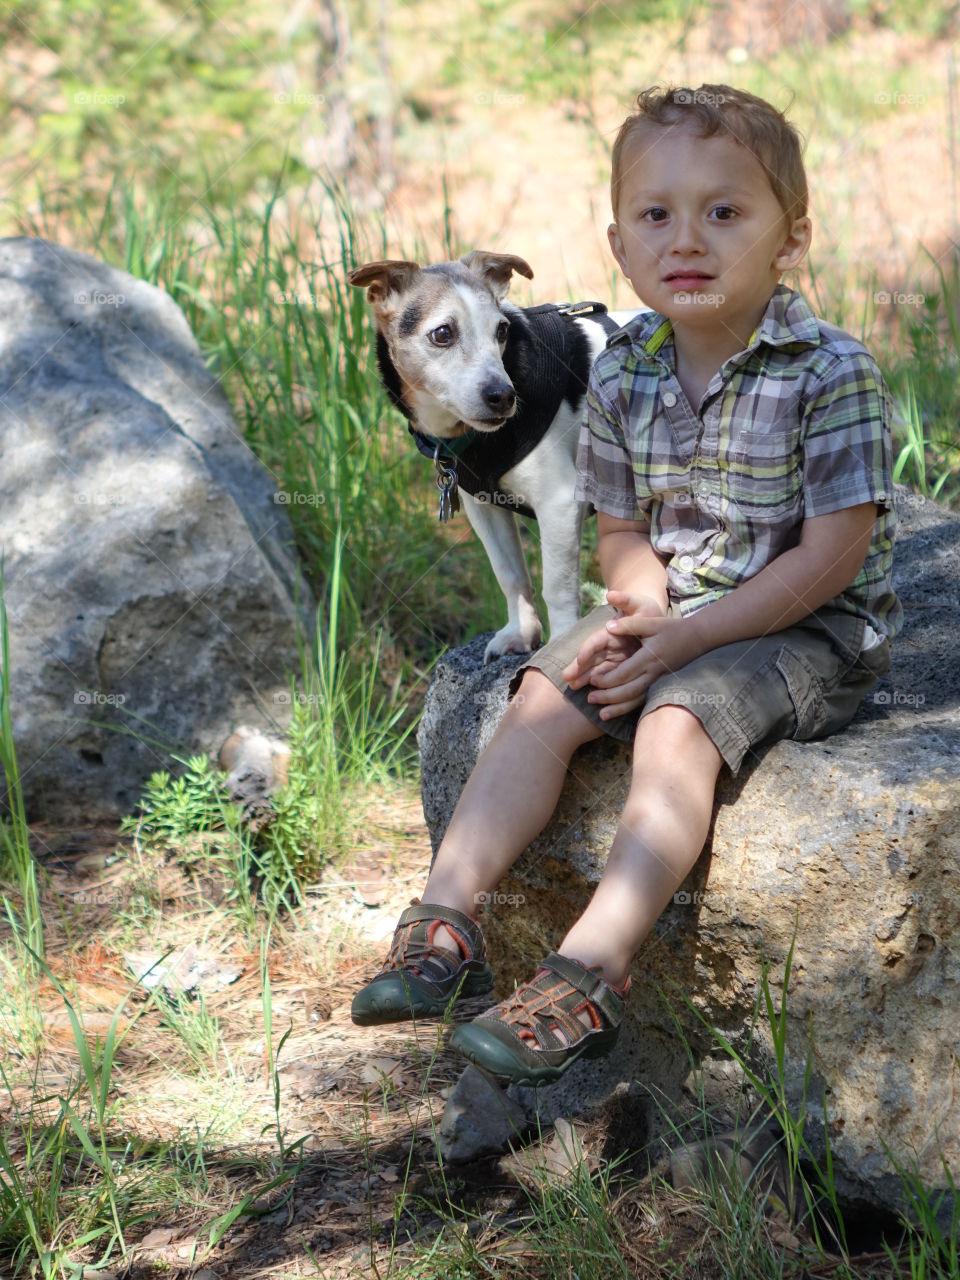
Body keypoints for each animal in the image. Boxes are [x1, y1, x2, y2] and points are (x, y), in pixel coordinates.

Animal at [350, 254, 642, 665]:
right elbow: (511, 575)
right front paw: (522, 632)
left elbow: (557, 585)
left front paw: (562, 641)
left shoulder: (559, 504)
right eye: (443, 334)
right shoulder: (484, 508)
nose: (504, 396)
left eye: (501, 331)